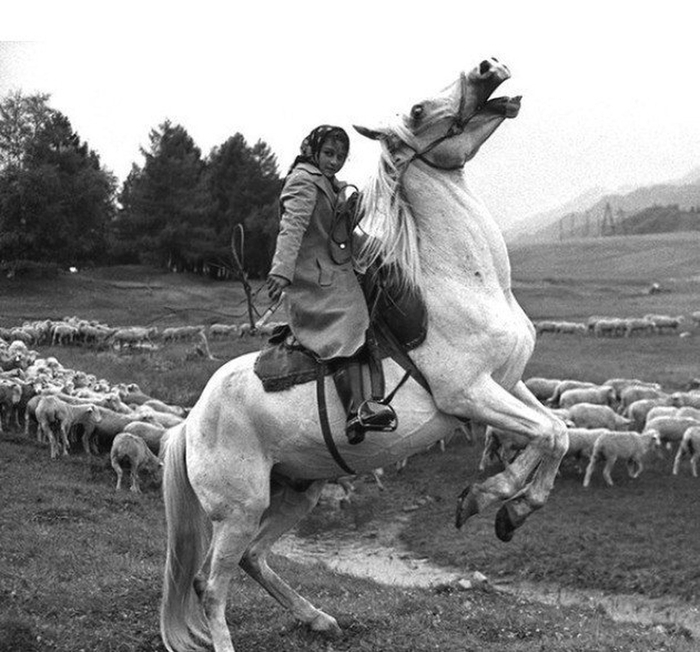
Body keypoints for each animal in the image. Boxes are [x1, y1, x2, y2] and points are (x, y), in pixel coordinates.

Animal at [161, 58, 572, 648]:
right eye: (418, 110)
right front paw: (489, 498)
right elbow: (549, 435)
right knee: (209, 584)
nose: (487, 68)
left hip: (297, 491)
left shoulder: (508, 383)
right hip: (240, 509)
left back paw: (318, 618)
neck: (466, 282)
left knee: (255, 559)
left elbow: (557, 431)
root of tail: (189, 423)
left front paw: (507, 509)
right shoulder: (469, 394)